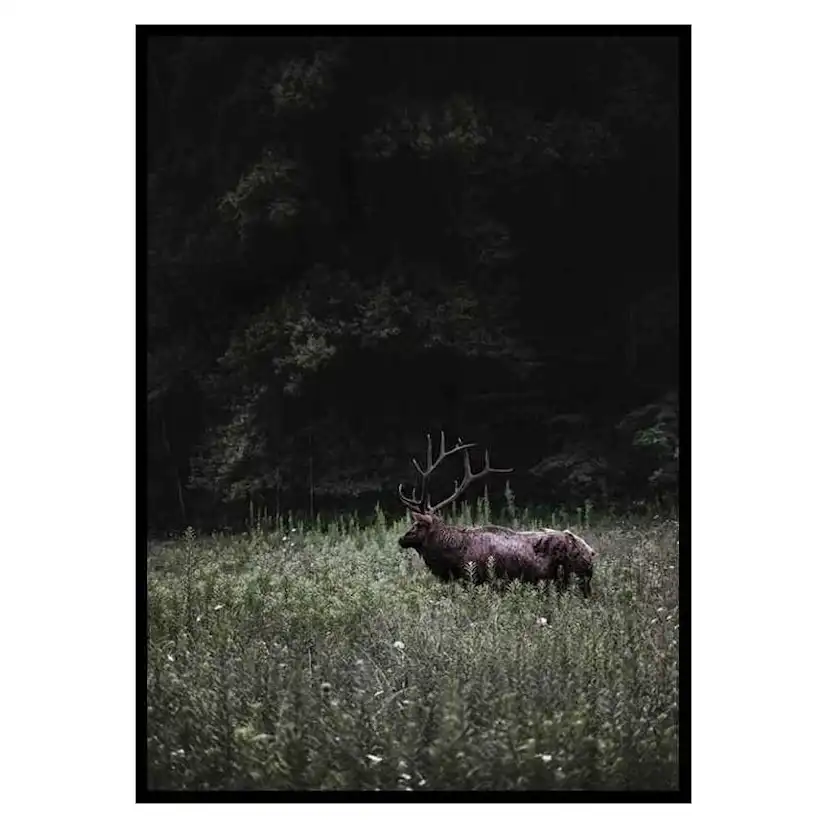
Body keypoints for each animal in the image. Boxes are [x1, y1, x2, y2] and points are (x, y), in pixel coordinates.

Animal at [397, 433, 597, 596]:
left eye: (417, 525)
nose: (401, 539)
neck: (454, 556)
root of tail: (591, 554)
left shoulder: (477, 580)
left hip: (573, 579)